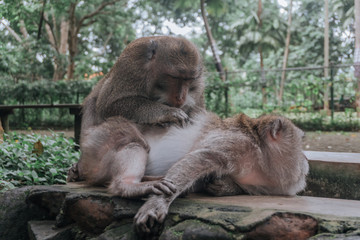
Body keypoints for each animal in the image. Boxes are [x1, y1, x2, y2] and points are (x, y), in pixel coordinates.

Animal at [77, 111, 308, 232]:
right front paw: (156, 204)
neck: (259, 155)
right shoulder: (236, 143)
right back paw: (130, 185)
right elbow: (200, 158)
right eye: (301, 142)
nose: (306, 160)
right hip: (102, 140)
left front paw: (221, 186)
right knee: (133, 141)